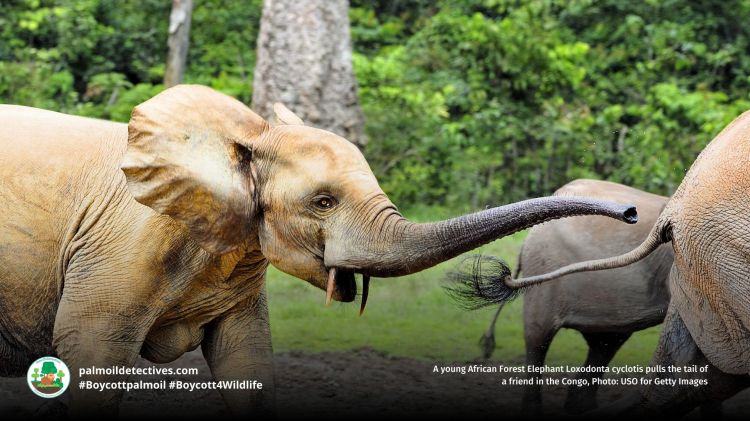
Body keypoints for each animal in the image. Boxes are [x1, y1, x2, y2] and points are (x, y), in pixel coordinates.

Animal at [0, 84, 639, 416]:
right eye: (324, 202)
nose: (633, 213)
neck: (245, 138)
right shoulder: (123, 247)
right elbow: (93, 350)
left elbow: (246, 358)